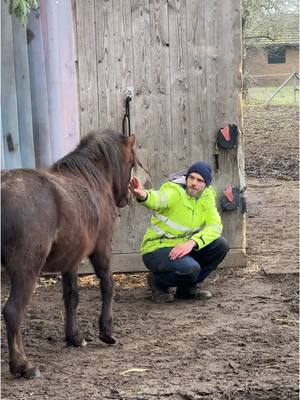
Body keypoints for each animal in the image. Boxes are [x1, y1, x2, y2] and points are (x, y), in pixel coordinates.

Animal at [1, 129, 136, 378]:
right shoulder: (102, 249)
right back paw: (23, 366)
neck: (91, 180)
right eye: (131, 161)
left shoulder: (71, 259)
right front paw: (106, 332)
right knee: (13, 311)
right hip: (26, 271)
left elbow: (71, 296)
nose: (125, 199)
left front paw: (74, 336)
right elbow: (108, 285)